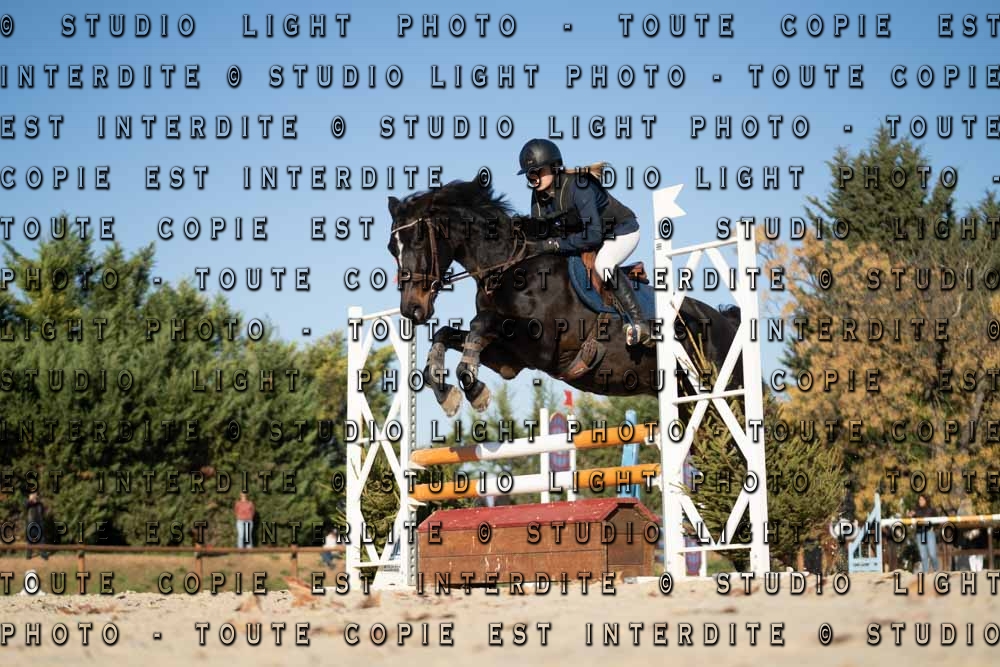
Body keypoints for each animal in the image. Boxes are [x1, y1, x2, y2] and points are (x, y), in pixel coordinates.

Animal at [387, 177, 743, 417]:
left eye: (418, 240)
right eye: (393, 248)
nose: (411, 310)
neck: (509, 266)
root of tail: (727, 321)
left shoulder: (540, 344)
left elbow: (481, 321)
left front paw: (475, 391)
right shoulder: (511, 360)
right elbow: (446, 334)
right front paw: (446, 391)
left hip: (723, 395)